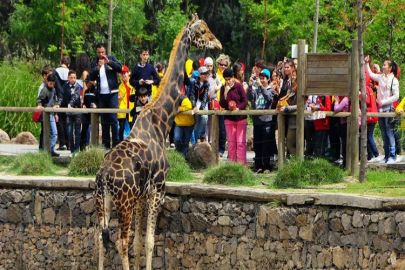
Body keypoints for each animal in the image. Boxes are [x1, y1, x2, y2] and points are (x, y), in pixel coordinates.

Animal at [94, 14, 221, 270]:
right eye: (202, 31)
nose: (219, 44)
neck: (161, 123)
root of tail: (103, 176)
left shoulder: (143, 194)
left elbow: (139, 242)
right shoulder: (158, 190)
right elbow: (150, 241)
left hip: (104, 200)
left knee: (100, 238)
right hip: (124, 201)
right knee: (120, 240)